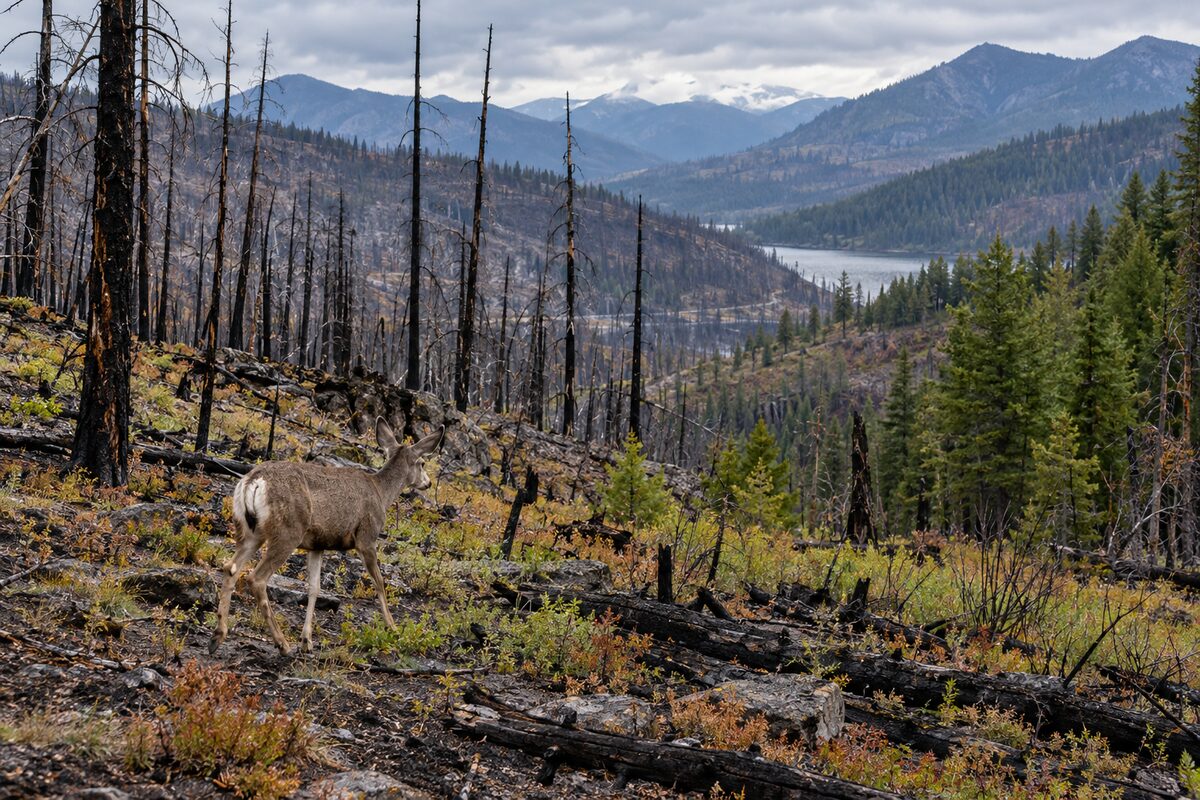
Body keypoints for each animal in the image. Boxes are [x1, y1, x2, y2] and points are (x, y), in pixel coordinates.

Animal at [209, 417, 444, 656]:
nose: (428, 483)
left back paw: (218, 636)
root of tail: (253, 481)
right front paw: (393, 628)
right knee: (256, 578)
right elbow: (379, 582)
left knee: (231, 567)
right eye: (422, 463)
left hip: (250, 530)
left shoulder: (317, 545)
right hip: (288, 532)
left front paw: (307, 640)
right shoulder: (367, 537)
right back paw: (282, 643)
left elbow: (314, 588)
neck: (381, 493)